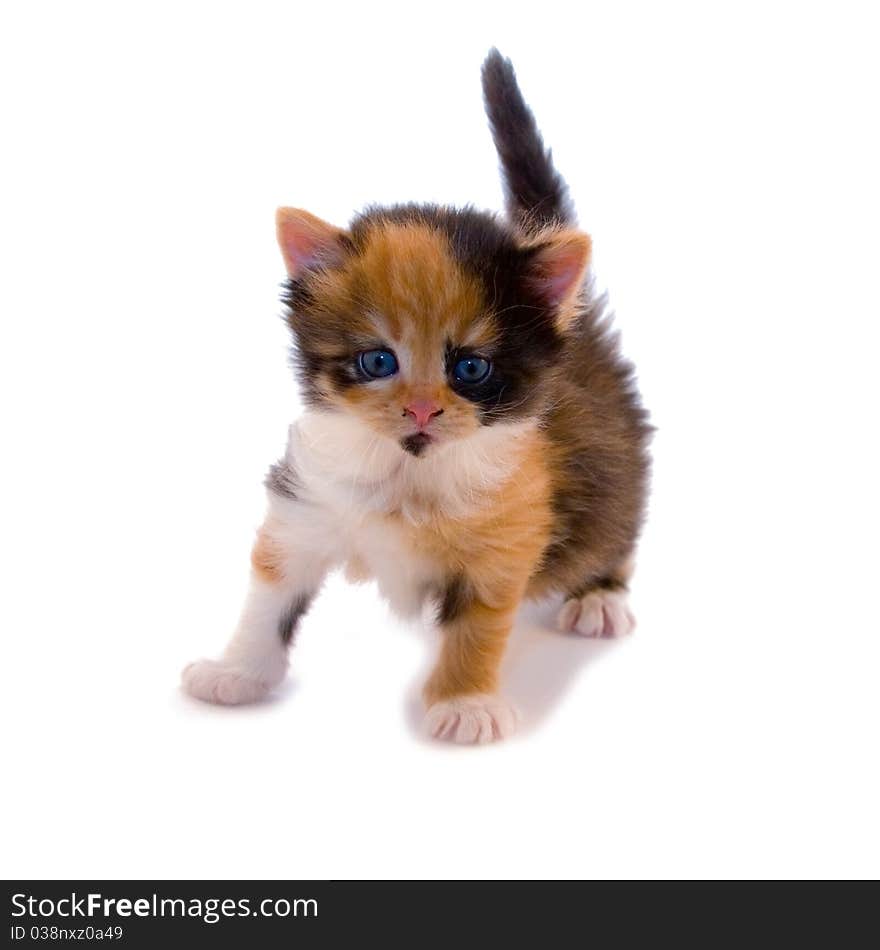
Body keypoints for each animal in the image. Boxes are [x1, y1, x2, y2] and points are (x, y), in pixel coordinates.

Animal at [184, 50, 652, 744]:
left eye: (471, 368)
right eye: (378, 361)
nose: (423, 409)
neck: (408, 471)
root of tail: (581, 328)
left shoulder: (507, 534)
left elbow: (477, 627)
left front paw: (464, 704)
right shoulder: (304, 506)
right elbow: (270, 596)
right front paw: (236, 672)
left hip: (611, 462)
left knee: (613, 520)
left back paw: (599, 595)